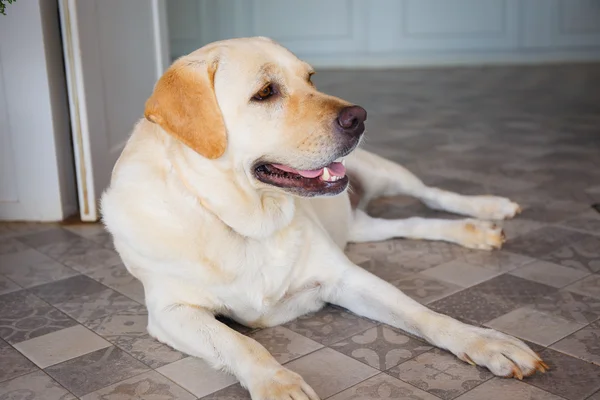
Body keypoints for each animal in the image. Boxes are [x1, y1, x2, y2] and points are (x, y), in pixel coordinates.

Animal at [102, 37, 548, 400]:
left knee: (433, 196)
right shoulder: (171, 311)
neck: (245, 223)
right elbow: (241, 344)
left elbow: (423, 314)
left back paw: (487, 211)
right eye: (265, 92)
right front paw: (277, 383)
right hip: (361, 228)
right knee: (411, 224)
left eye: (310, 78)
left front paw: (485, 342)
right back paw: (473, 232)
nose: (359, 116)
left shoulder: (344, 277)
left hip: (387, 173)